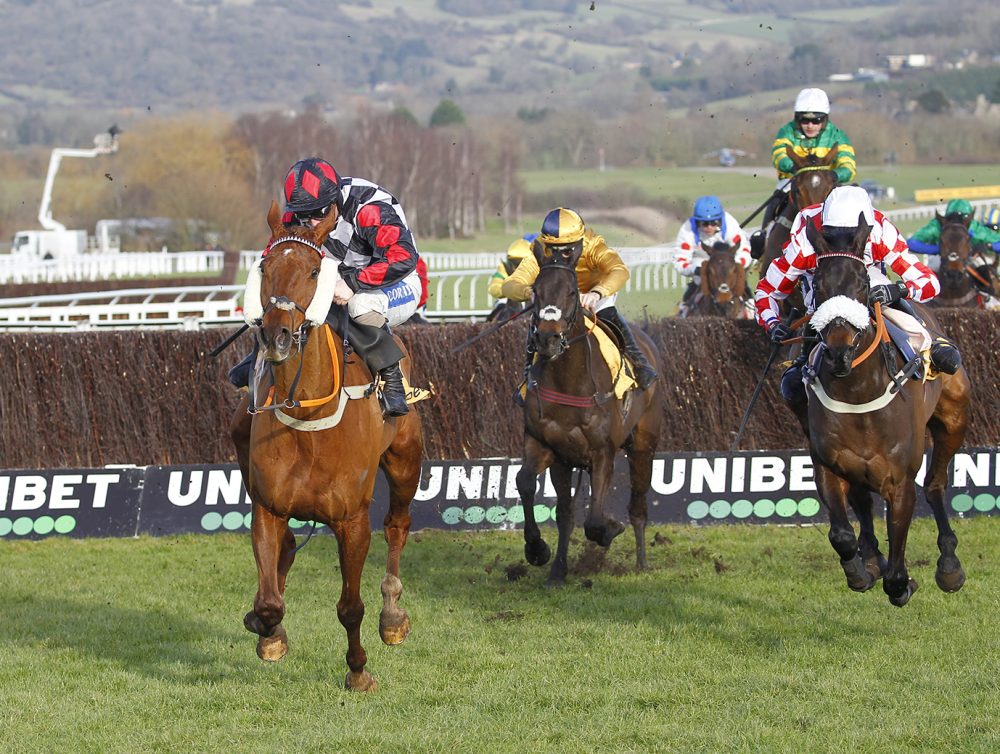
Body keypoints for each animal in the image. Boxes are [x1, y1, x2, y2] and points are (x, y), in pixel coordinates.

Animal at [229, 203, 422, 692]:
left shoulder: (351, 521)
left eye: (315, 271)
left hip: (405, 460)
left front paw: (358, 670)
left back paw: (393, 615)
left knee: (398, 526)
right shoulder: (269, 508)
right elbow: (269, 602)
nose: (277, 337)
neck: (308, 419)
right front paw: (269, 633)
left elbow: (350, 607)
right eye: (265, 268)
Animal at [516, 244, 664, 584]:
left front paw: (610, 529)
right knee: (566, 513)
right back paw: (558, 569)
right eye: (536, 290)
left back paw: (641, 561)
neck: (569, 382)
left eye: (572, 292)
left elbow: (595, 520)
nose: (547, 339)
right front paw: (538, 551)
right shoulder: (547, 445)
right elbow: (527, 483)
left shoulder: (601, 452)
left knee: (638, 506)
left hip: (643, 445)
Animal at [804, 219, 976, 604]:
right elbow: (841, 534)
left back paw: (949, 565)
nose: (838, 352)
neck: (858, 394)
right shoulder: (829, 466)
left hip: (953, 420)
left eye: (863, 284)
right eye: (818, 285)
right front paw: (860, 571)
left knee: (935, 484)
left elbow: (897, 571)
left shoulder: (899, 482)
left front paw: (903, 582)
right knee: (863, 504)